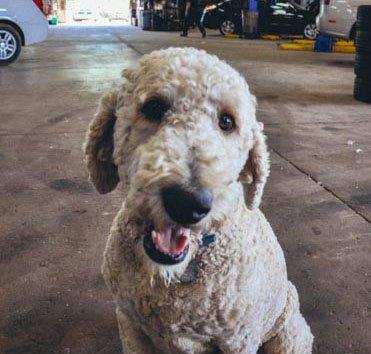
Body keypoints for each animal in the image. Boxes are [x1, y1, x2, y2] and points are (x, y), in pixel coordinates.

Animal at [84, 47, 314, 354]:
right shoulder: (130, 324)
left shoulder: (238, 341)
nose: (188, 203)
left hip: (288, 334)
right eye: (154, 107)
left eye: (227, 121)